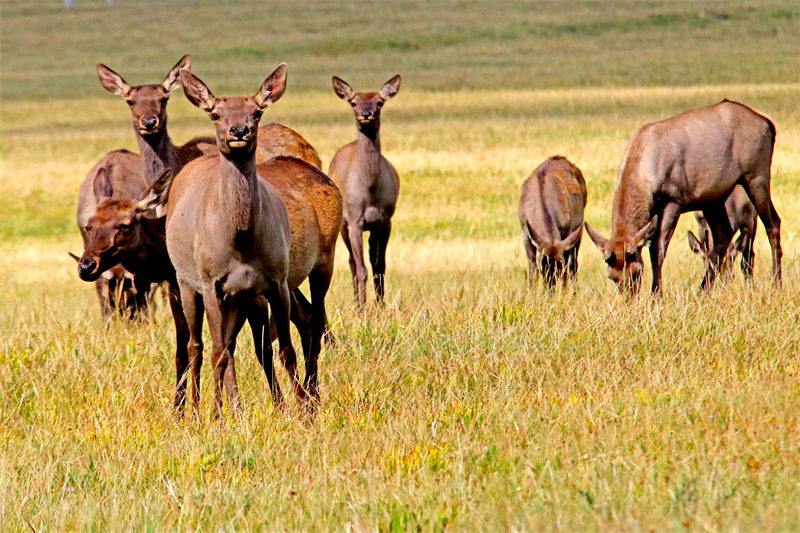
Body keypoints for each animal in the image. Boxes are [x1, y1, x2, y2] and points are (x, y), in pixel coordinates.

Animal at [151, 65, 340, 416]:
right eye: (215, 114)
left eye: (257, 111)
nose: (238, 130)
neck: (239, 240)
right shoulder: (212, 282)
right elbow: (219, 351)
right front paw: (218, 414)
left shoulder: (276, 280)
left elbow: (284, 349)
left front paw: (300, 413)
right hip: (186, 283)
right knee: (197, 345)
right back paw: (194, 409)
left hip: (324, 260)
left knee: (314, 322)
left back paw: (312, 397)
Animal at [328, 75, 400, 308]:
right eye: (353, 102)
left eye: (379, 102)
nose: (366, 115)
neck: (369, 190)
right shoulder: (354, 221)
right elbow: (361, 269)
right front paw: (363, 310)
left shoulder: (385, 220)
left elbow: (380, 267)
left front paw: (381, 307)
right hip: (342, 225)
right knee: (352, 263)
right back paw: (358, 304)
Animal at [520, 156, 588, 288]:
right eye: (543, 265)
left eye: (559, 266)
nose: (550, 289)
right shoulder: (525, 234)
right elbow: (532, 269)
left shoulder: (567, 233)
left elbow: (566, 270)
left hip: (578, 233)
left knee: (573, 266)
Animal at [580, 98, 780, 298]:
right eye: (611, 277)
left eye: (637, 271)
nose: (630, 300)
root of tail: (769, 125)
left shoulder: (674, 199)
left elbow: (657, 249)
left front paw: (656, 297)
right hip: (712, 198)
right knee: (723, 234)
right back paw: (701, 292)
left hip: (757, 175)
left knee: (772, 223)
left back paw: (776, 283)